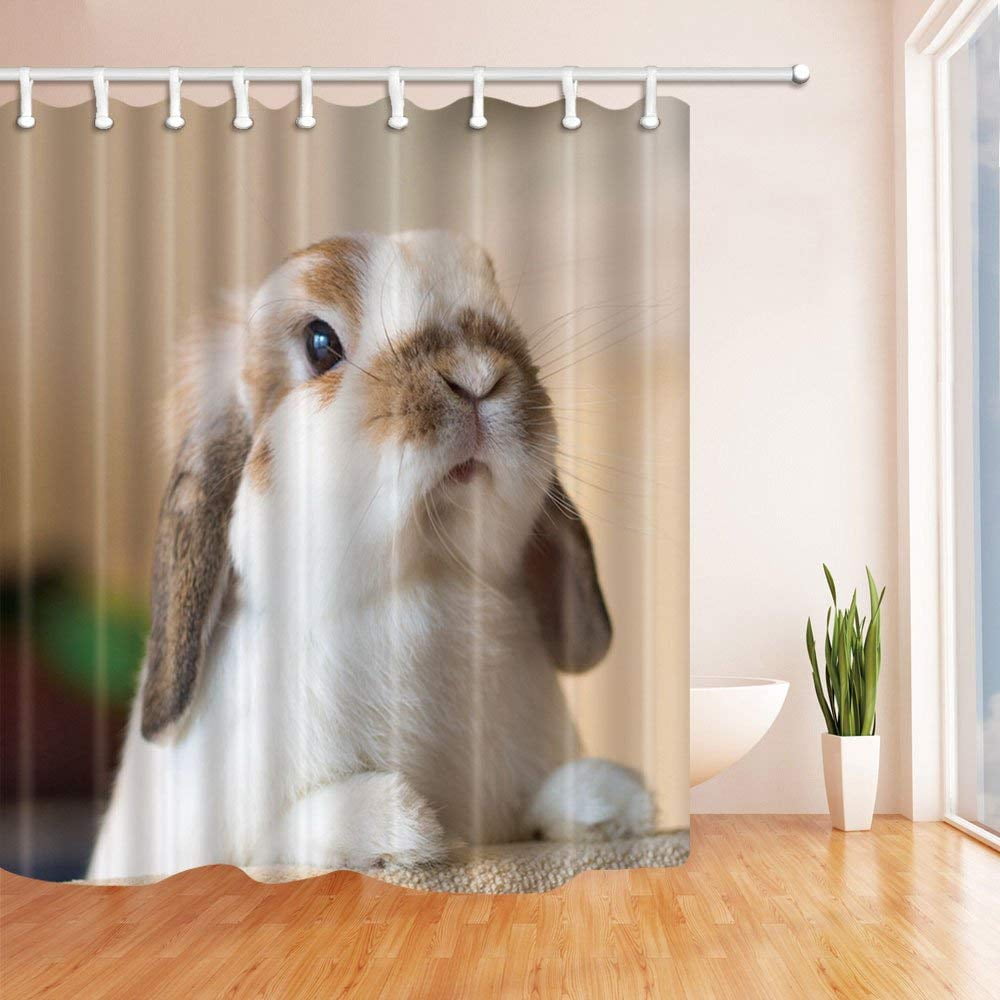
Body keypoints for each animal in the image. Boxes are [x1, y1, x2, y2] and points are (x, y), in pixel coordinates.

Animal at [87, 230, 655, 880]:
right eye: (320, 343)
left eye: (502, 310)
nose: (477, 376)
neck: (425, 578)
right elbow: (284, 838)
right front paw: (404, 827)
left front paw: (608, 802)